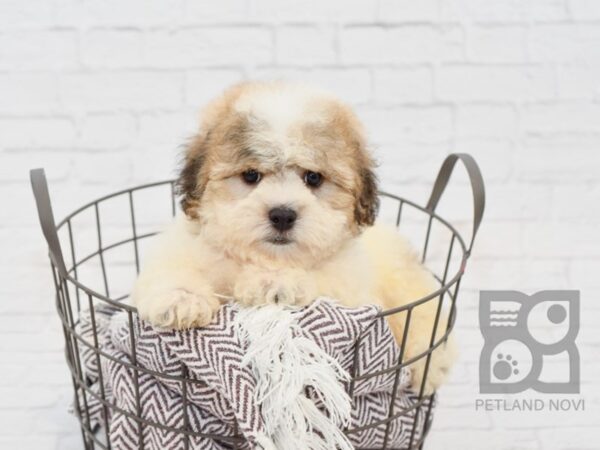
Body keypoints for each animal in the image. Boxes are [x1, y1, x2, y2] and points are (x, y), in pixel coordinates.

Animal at [132, 81, 454, 394]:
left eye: (313, 178)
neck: (262, 258)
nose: (282, 215)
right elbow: (171, 268)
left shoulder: (348, 291)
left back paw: (429, 365)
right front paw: (180, 299)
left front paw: (273, 282)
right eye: (251, 175)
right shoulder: (185, 246)